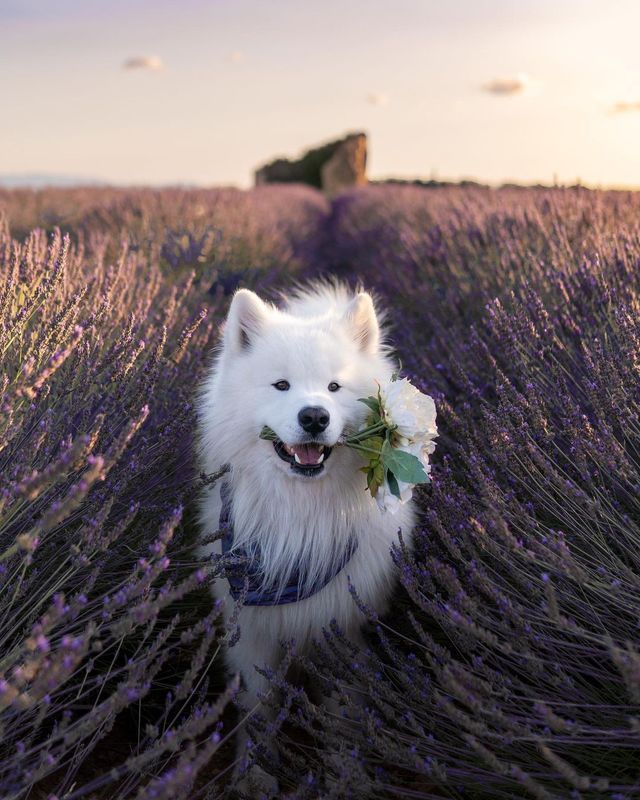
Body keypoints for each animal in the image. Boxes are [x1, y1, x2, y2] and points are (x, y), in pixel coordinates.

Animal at [196, 286, 416, 788]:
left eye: (335, 388)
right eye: (281, 385)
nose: (314, 416)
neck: (302, 515)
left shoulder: (342, 629)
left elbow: (343, 713)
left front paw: (345, 773)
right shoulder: (252, 635)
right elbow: (258, 712)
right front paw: (257, 778)